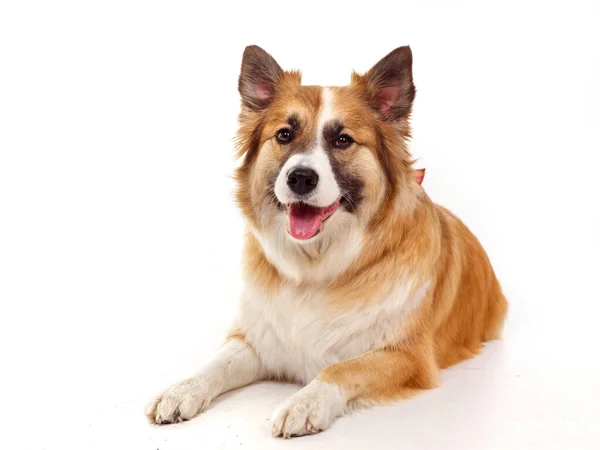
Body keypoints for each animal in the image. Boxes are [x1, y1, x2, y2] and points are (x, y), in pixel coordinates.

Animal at [145, 45, 506, 440]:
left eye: (343, 140)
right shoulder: (257, 340)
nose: (301, 177)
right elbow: (215, 364)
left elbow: (339, 369)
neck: (316, 267)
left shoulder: (407, 356)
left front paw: (304, 403)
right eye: (284, 135)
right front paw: (181, 390)